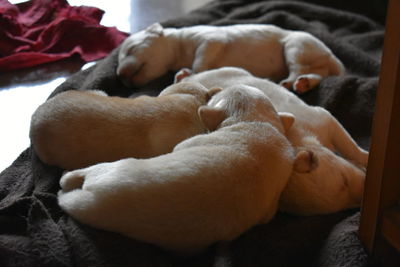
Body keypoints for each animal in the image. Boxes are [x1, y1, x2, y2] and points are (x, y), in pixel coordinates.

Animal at [57, 85, 312, 253]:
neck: (256, 121)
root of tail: (97, 201)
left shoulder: (187, 143)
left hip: (111, 166)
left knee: (77, 177)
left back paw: (66, 179)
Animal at [116, 23, 344, 94]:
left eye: (131, 49)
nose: (120, 76)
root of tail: (334, 60)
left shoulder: (210, 40)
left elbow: (201, 60)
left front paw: (191, 73)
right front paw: (181, 74)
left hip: (296, 46)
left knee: (298, 67)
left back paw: (289, 82)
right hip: (314, 62)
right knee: (317, 75)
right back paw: (304, 83)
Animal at [178, 66, 368, 216]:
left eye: (344, 180)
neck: (294, 141)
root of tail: (191, 79)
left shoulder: (323, 119)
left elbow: (350, 146)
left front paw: (366, 157)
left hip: (233, 70)